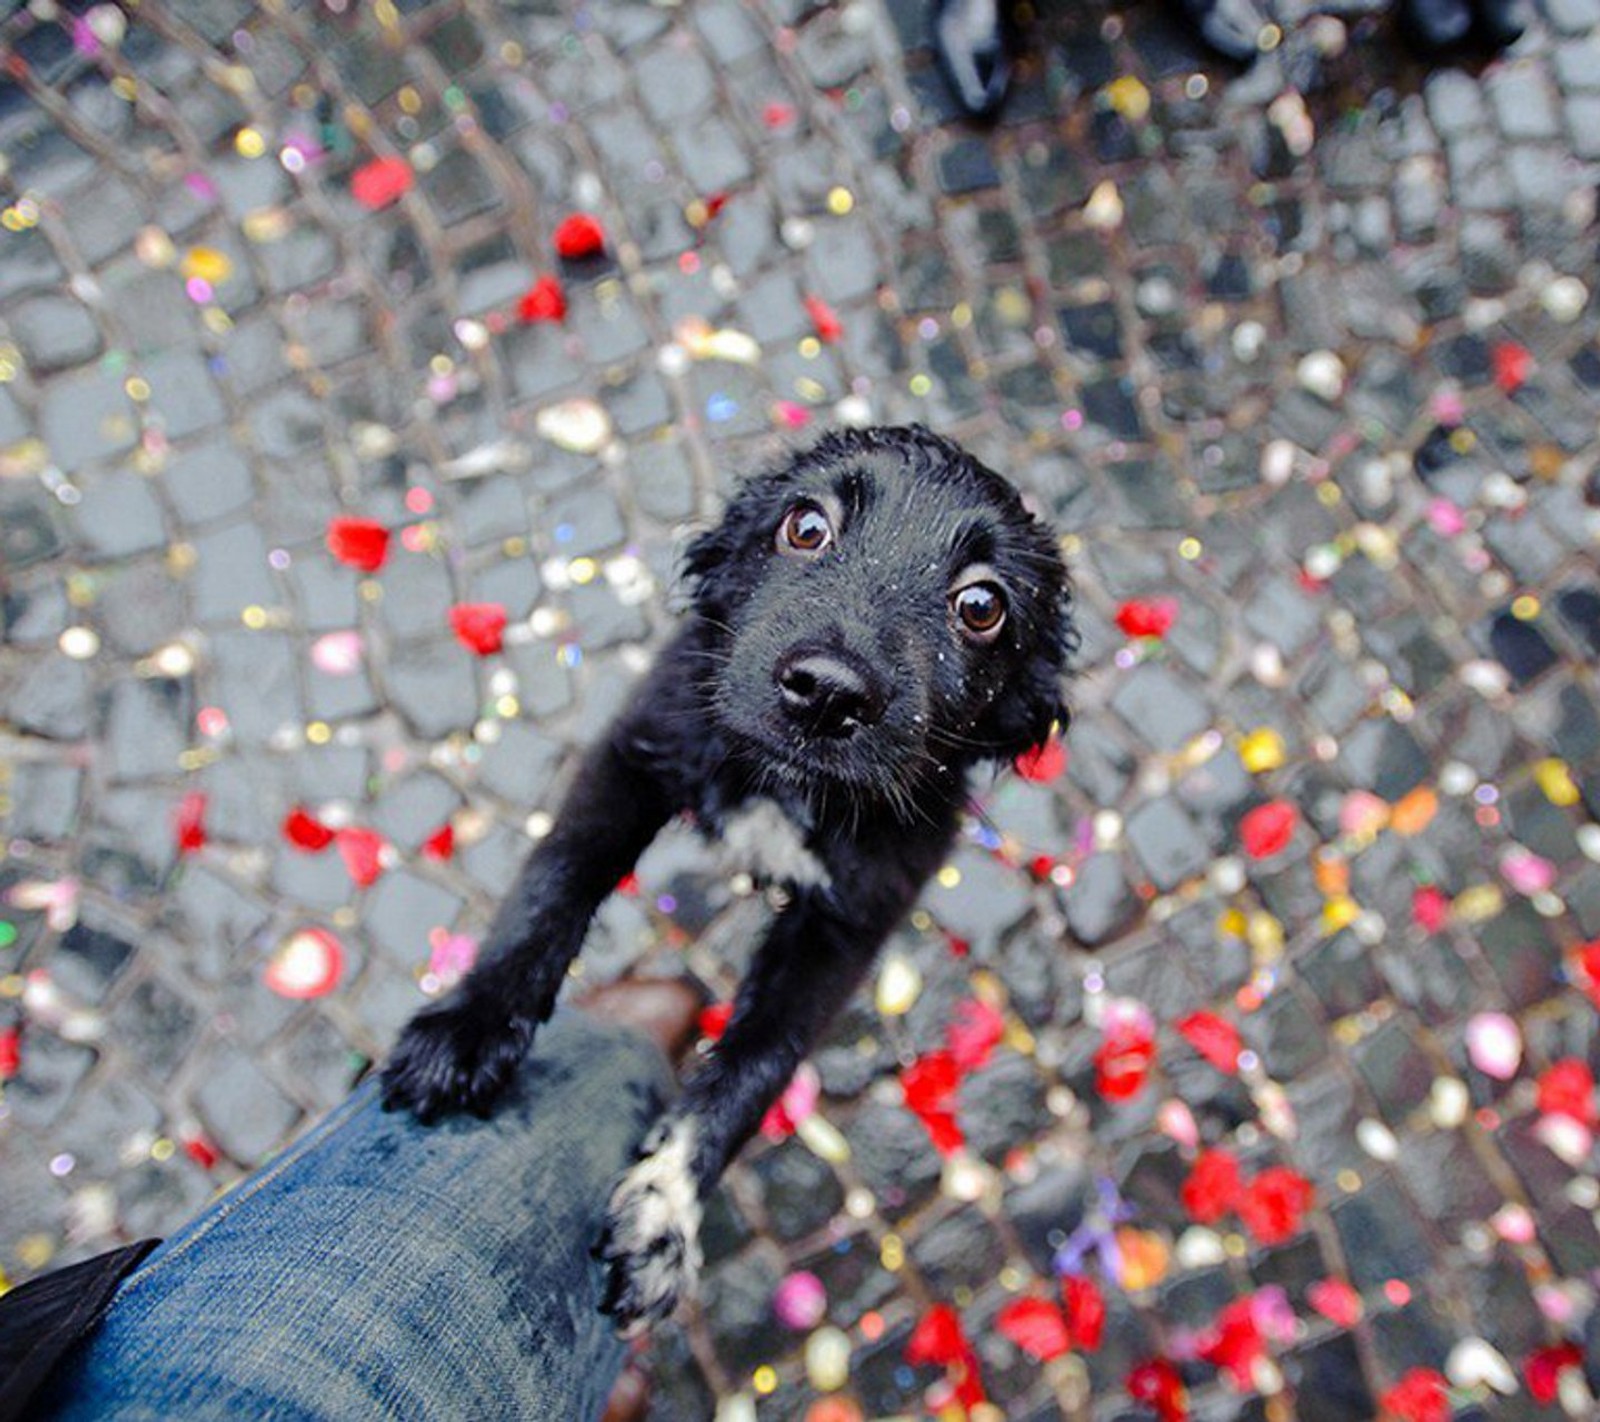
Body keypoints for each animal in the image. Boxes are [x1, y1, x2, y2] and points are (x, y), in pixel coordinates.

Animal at [379, 425, 1068, 1330]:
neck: (783, 788)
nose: (827, 693)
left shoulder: (853, 915)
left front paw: (665, 1211)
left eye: (982, 607)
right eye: (806, 527)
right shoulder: (637, 750)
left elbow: (756, 1061)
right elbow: (554, 882)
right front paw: (472, 1025)